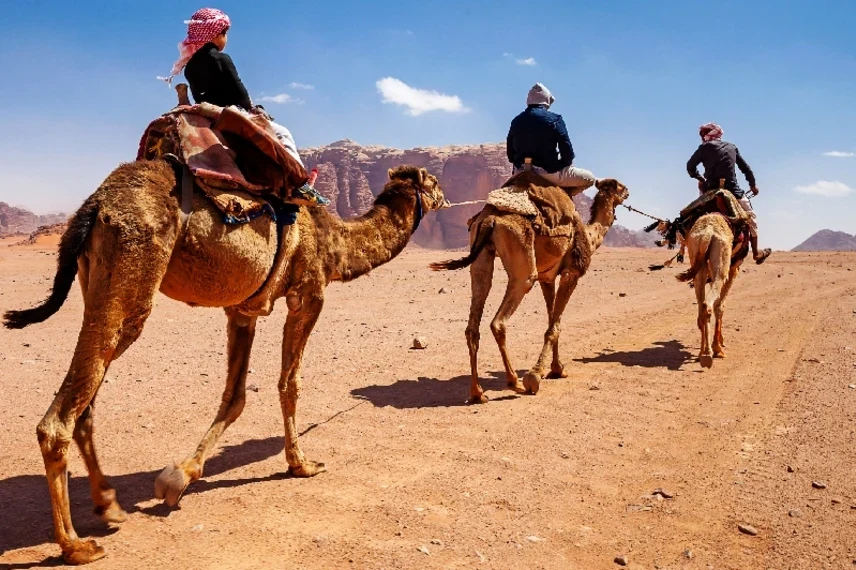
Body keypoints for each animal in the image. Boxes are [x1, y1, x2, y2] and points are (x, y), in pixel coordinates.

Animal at [1, 160, 448, 564]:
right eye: (435, 182)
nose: (446, 199)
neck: (335, 239)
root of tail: (95, 203)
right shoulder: (308, 294)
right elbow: (290, 383)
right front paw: (302, 464)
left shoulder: (242, 311)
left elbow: (235, 397)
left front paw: (180, 476)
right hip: (132, 276)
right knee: (59, 419)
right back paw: (75, 546)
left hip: (93, 281)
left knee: (86, 407)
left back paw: (109, 505)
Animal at [432, 178, 624, 400]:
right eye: (620, 187)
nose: (628, 192)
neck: (590, 236)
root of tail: (490, 219)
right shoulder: (571, 274)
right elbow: (554, 326)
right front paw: (535, 375)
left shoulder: (547, 278)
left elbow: (553, 320)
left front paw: (557, 369)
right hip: (522, 259)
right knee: (500, 320)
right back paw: (514, 382)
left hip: (481, 254)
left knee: (474, 318)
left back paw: (478, 393)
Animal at [676, 211, 748, 366]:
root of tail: (707, 234)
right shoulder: (733, 271)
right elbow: (720, 306)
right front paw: (718, 347)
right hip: (721, 265)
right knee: (708, 305)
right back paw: (709, 353)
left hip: (698, 261)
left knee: (701, 307)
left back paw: (702, 353)